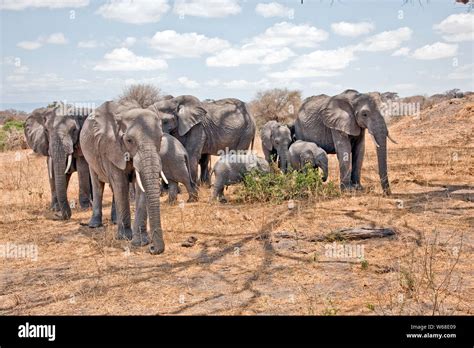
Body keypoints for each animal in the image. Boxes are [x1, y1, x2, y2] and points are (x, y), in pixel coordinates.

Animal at [81, 100, 168, 256]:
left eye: (160, 138)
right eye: (129, 140)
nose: (152, 248)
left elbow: (140, 186)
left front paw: (140, 242)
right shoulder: (110, 148)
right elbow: (120, 184)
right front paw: (125, 237)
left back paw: (115, 221)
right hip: (90, 156)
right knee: (98, 185)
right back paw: (94, 225)